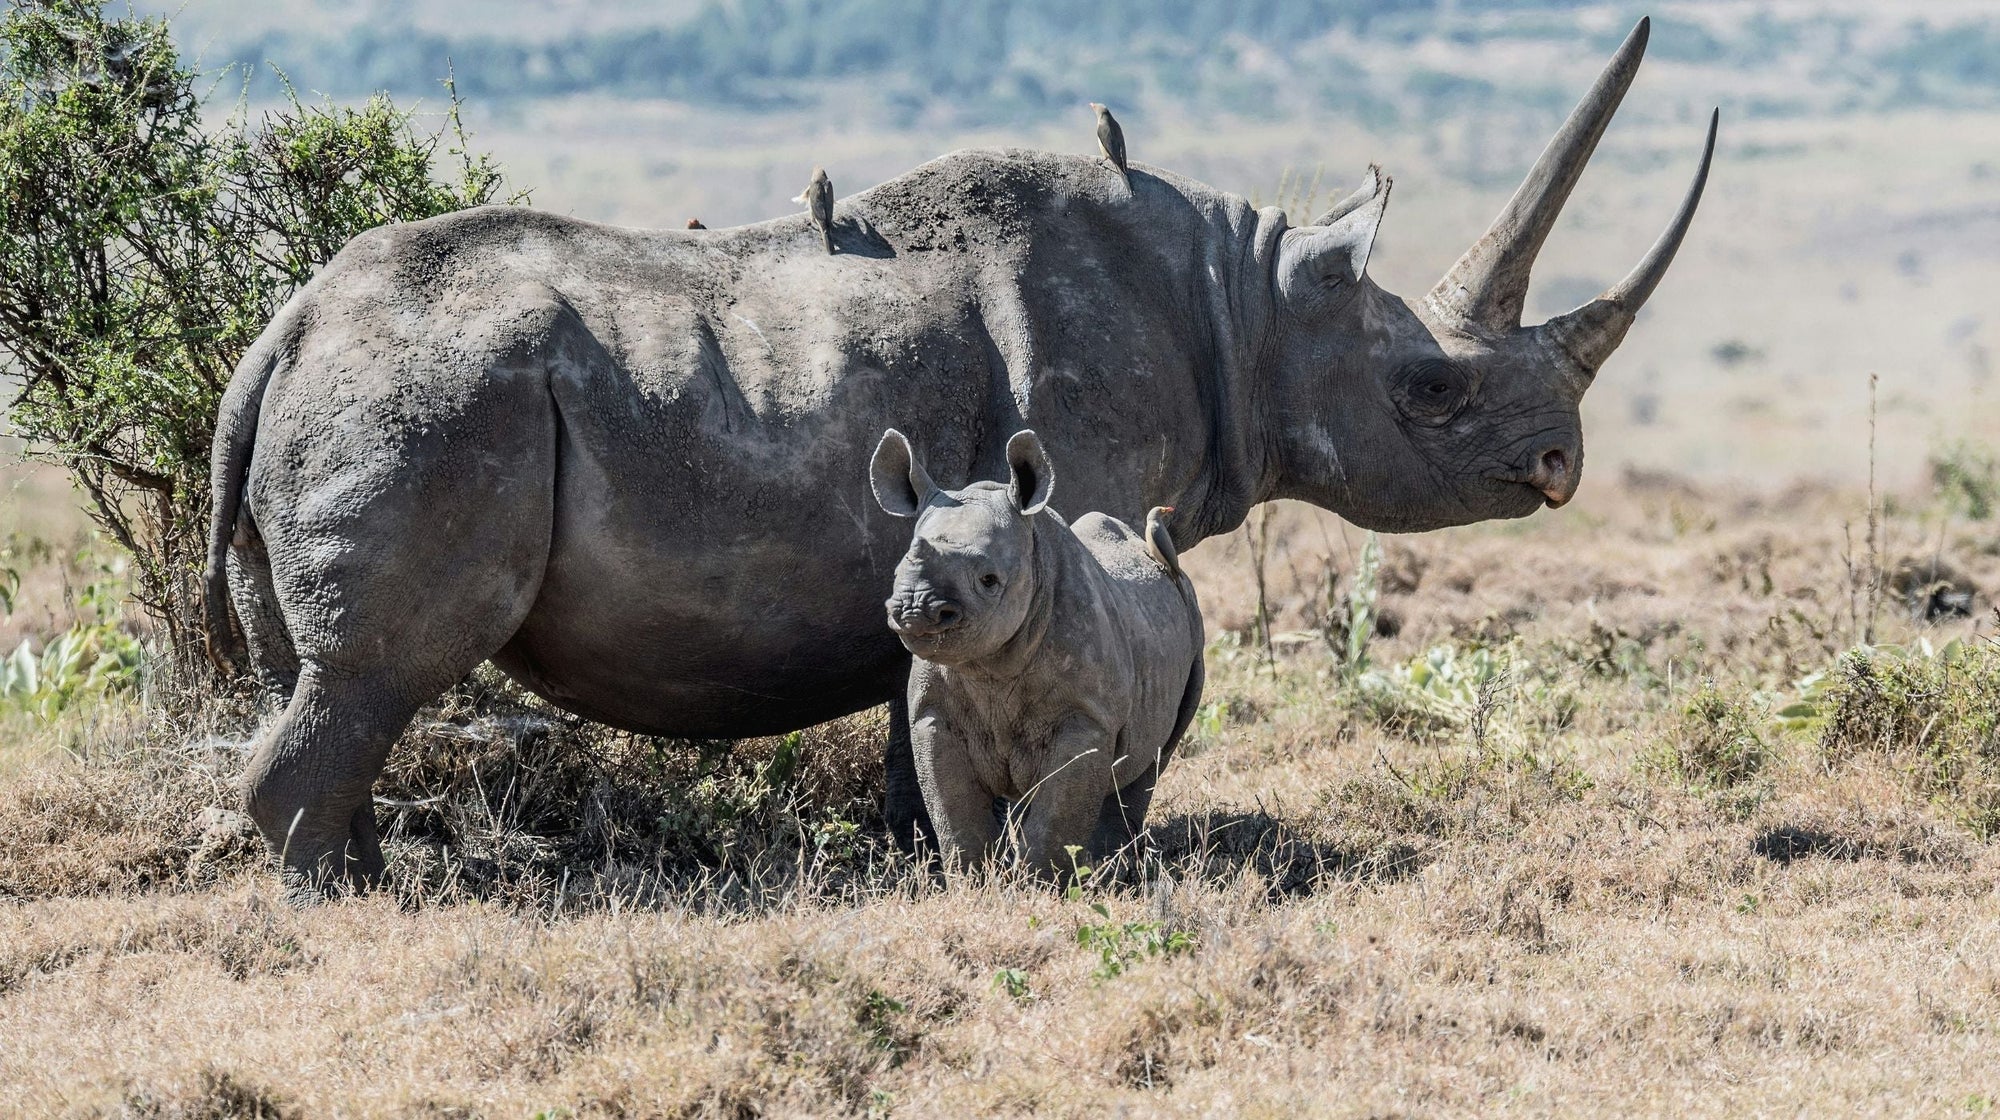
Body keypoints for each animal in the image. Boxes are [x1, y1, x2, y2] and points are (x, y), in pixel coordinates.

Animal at [872, 428, 1204, 874]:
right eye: (895, 573)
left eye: (989, 580)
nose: (915, 610)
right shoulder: (933, 714)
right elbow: (954, 813)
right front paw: (973, 879)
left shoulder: (1086, 718)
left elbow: (1055, 816)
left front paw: (1042, 883)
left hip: (1193, 630)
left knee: (1151, 761)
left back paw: (1110, 869)